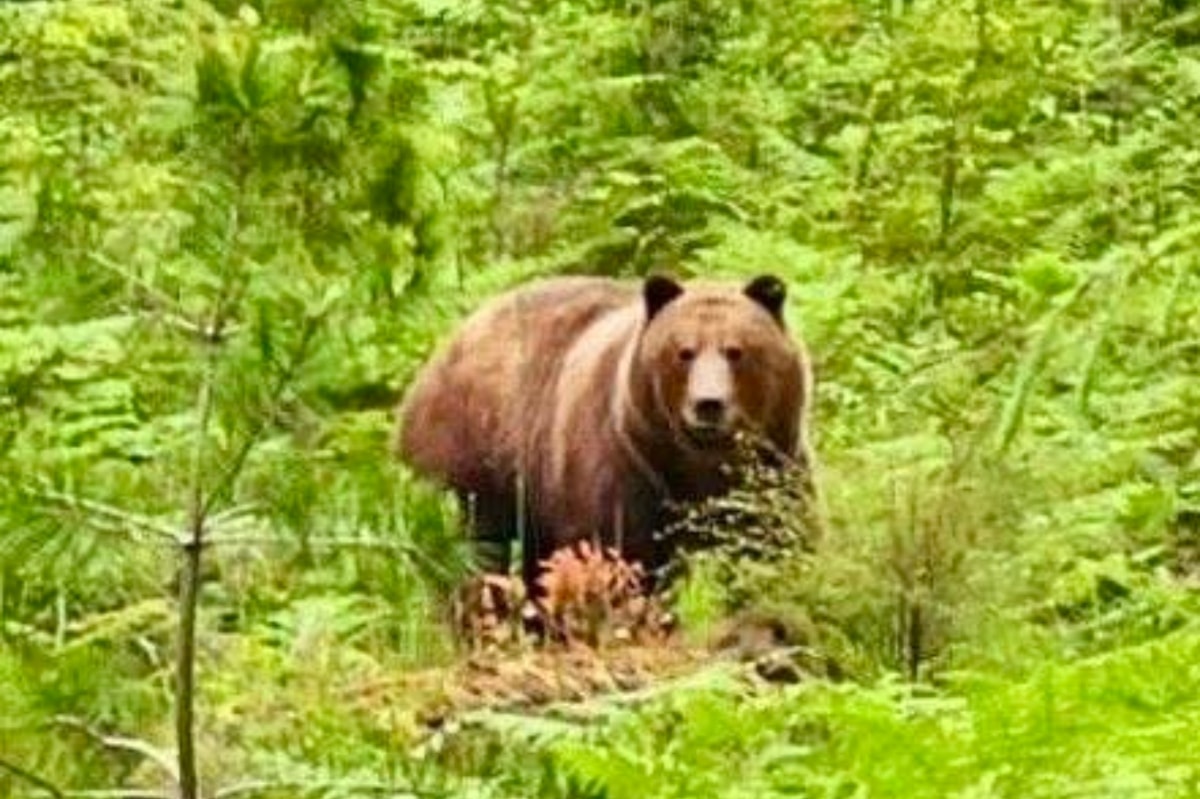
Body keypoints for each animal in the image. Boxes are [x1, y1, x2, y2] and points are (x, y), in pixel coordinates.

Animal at [394, 273, 815, 595]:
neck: (697, 468)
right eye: (684, 352)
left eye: (736, 350)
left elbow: (779, 545)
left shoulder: (775, 468)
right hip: (470, 456)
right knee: (473, 549)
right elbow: (617, 553)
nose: (708, 403)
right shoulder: (624, 468)